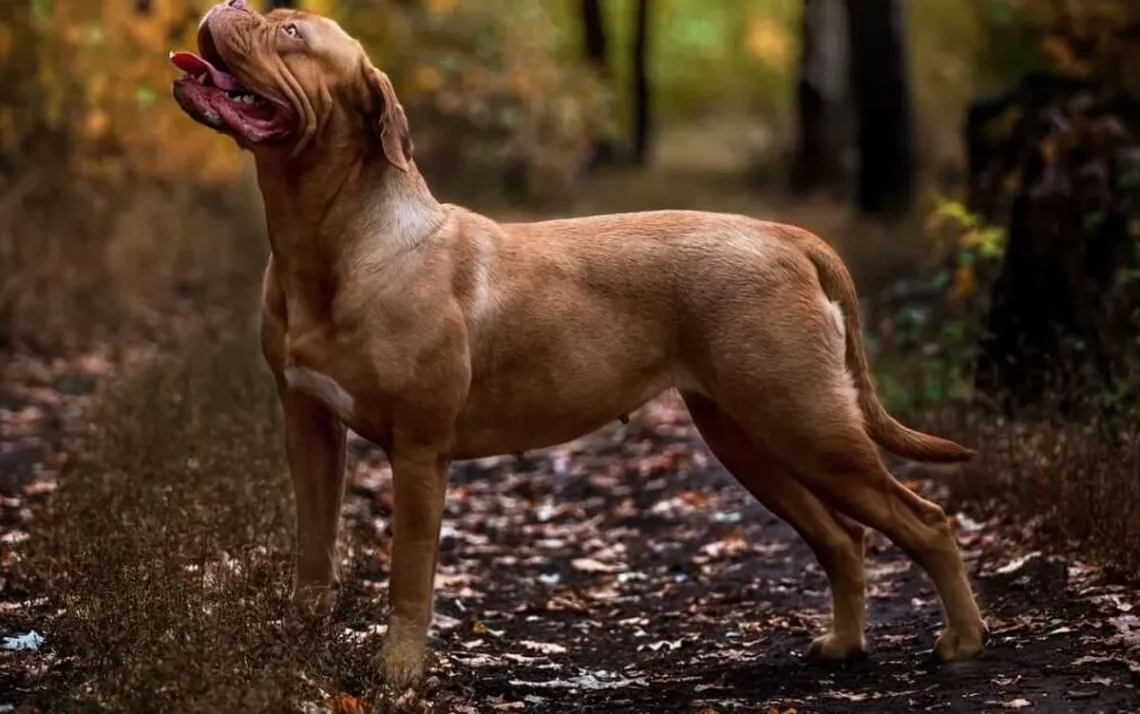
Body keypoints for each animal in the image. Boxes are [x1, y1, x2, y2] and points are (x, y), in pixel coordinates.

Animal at [168, 1, 989, 688]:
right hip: (747, 435)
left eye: (290, 32)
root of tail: (787, 236)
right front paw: (299, 643)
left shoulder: (419, 450)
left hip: (807, 422)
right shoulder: (308, 428)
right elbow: (314, 550)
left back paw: (962, 641)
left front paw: (398, 668)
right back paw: (845, 644)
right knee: (843, 537)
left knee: (924, 519)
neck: (328, 242)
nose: (232, 1)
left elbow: (408, 572)